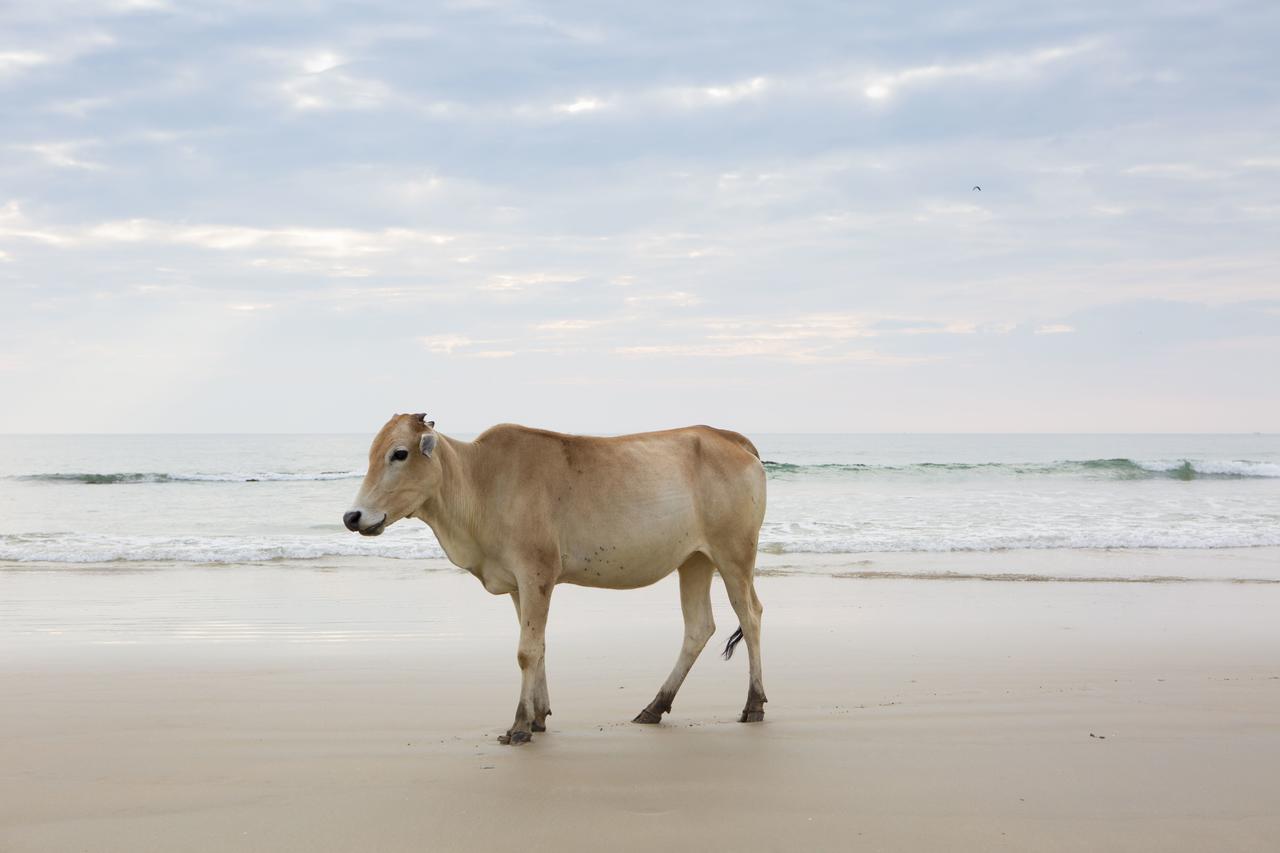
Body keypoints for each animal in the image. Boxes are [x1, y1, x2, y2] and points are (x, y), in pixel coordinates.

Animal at [343, 412, 768, 742]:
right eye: (371, 454)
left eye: (399, 453)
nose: (352, 516)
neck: (481, 481)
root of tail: (730, 437)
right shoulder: (519, 584)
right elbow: (539, 645)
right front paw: (538, 716)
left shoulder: (537, 573)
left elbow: (526, 650)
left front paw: (519, 726)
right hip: (694, 560)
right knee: (699, 627)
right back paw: (654, 707)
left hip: (734, 554)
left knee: (750, 615)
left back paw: (753, 704)